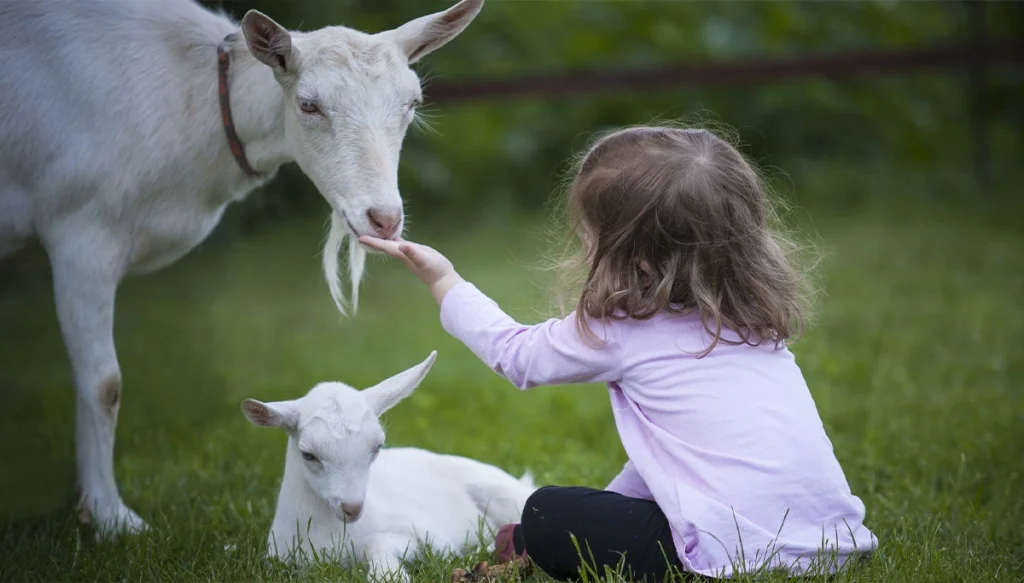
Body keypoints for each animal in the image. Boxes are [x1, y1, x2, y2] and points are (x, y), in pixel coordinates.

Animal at [0, 0, 485, 537]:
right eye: (308, 105)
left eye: (412, 103)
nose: (384, 218)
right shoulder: (82, 230)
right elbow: (104, 384)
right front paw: (110, 517)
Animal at [241, 351, 537, 582]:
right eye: (308, 455)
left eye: (376, 447)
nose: (352, 507)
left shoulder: (430, 536)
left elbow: (380, 541)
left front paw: (388, 575)